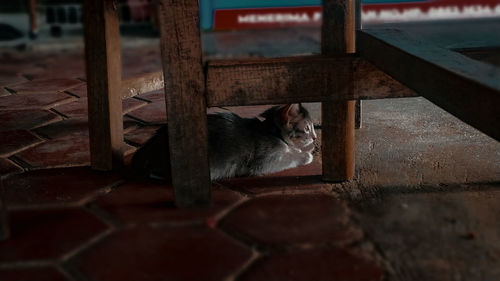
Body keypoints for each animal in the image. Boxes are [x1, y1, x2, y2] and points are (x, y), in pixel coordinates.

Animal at [132, 103, 316, 179]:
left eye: (313, 127)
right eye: (307, 128)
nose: (315, 137)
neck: (272, 132)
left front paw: (298, 150)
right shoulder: (264, 161)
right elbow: (288, 158)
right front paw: (305, 155)